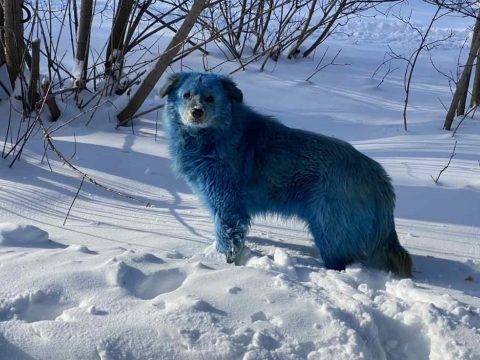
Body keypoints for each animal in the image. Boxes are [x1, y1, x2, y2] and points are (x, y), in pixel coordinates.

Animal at [160, 71, 412, 278]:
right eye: (187, 95)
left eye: (210, 98)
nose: (196, 112)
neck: (216, 135)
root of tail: (378, 176)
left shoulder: (227, 206)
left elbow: (227, 238)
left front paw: (221, 265)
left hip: (328, 229)